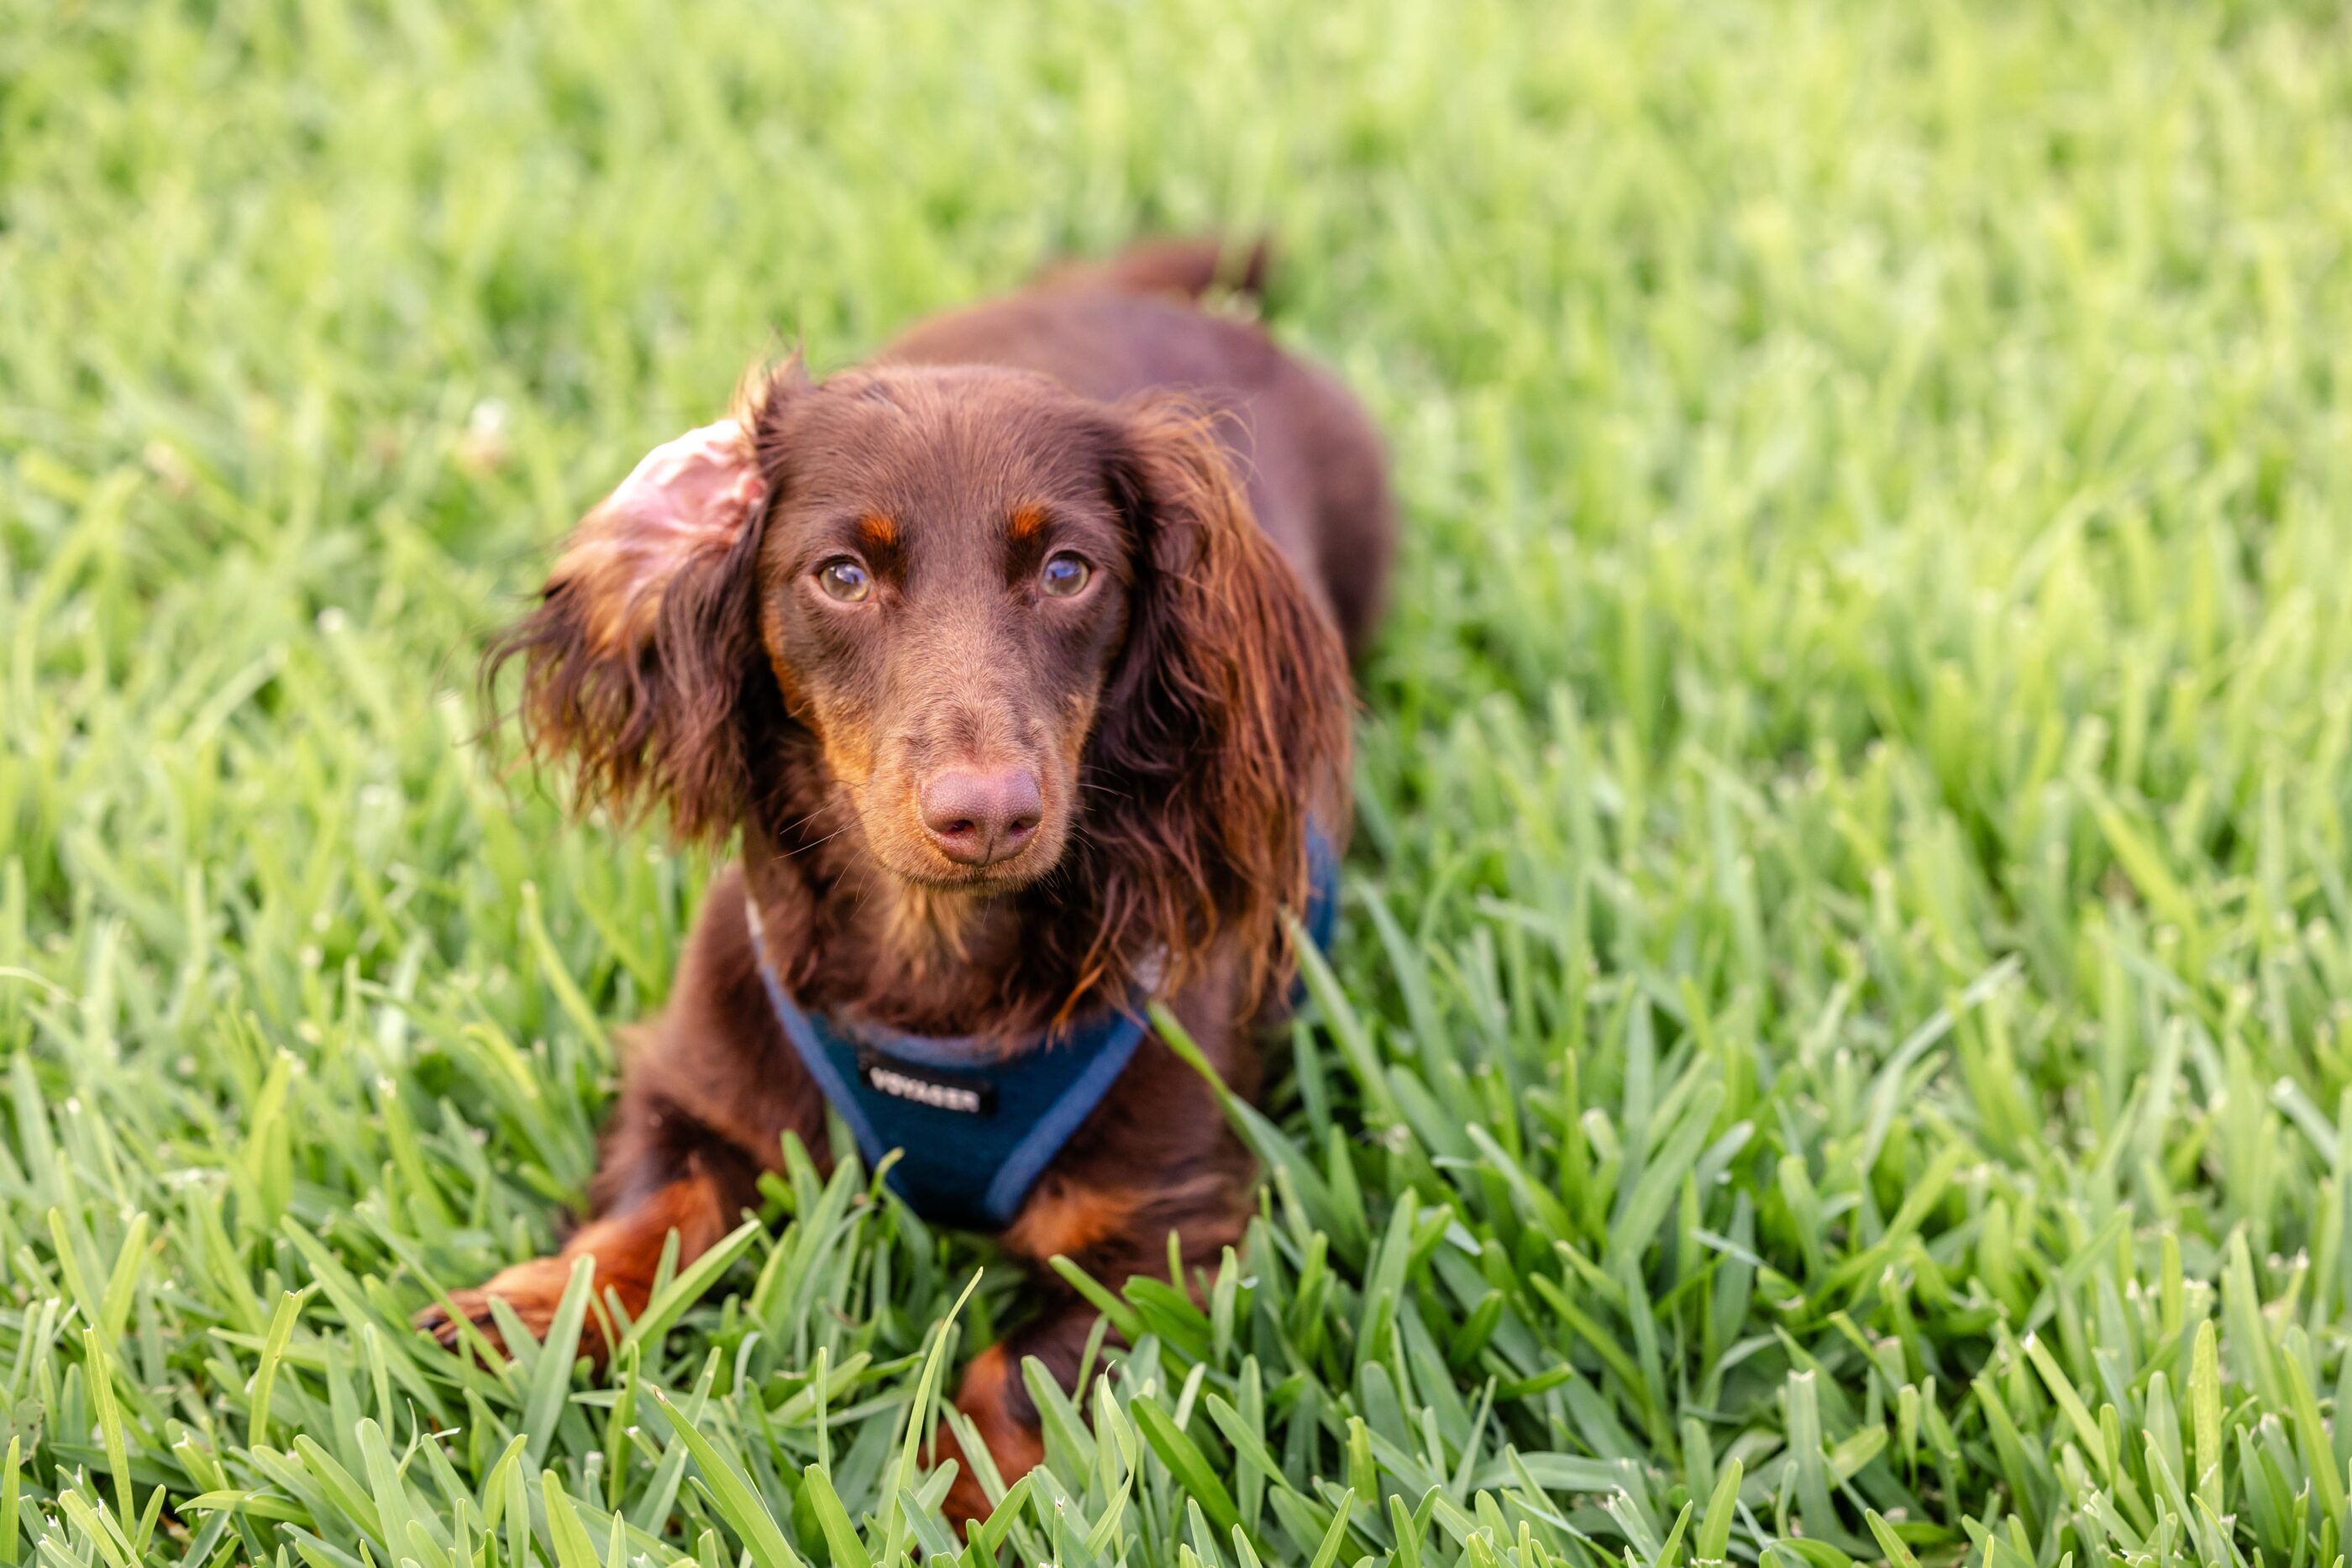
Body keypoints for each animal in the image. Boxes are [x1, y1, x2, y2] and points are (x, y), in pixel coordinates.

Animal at [421, 239, 1383, 1523]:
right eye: (840, 573)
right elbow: (652, 1213)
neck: (934, 964)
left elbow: (1017, 1373)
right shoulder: (696, 1080)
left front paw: (954, 1499)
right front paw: (529, 1308)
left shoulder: (1176, 1233)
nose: (988, 815)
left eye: (1069, 569)